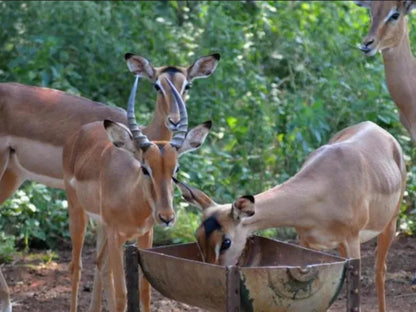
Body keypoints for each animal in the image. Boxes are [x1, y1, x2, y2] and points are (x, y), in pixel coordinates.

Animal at [0, 52, 221, 310]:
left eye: (187, 85)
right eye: (157, 85)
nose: (175, 120)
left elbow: (109, 270)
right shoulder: (111, 227)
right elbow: (112, 280)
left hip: (14, 175)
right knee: (76, 265)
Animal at [176, 121, 406, 312]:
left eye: (226, 241)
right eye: (197, 236)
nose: (212, 274)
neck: (326, 187)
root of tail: (380, 129)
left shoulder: (352, 240)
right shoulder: (307, 241)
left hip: (389, 225)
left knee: (380, 270)